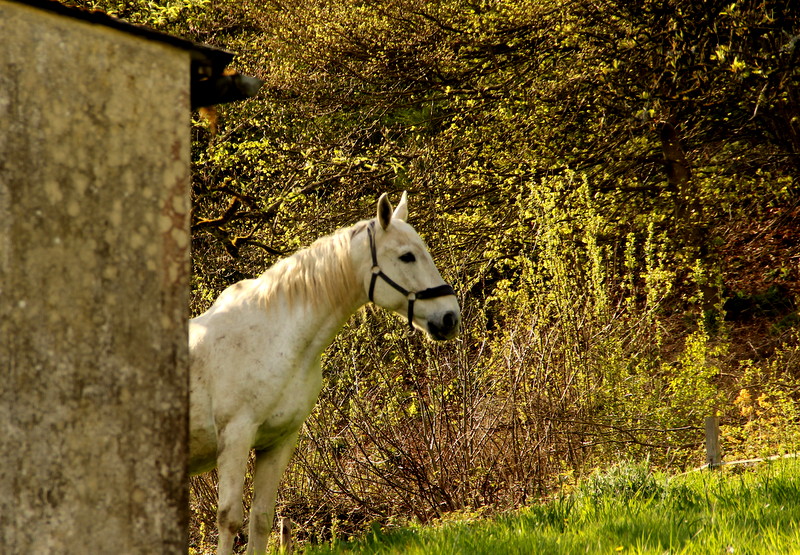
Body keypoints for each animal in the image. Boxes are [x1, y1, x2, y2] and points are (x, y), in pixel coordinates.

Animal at [188, 193, 460, 552]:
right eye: (407, 256)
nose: (450, 317)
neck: (275, 335)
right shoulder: (235, 436)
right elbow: (230, 519)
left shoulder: (277, 442)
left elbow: (261, 518)